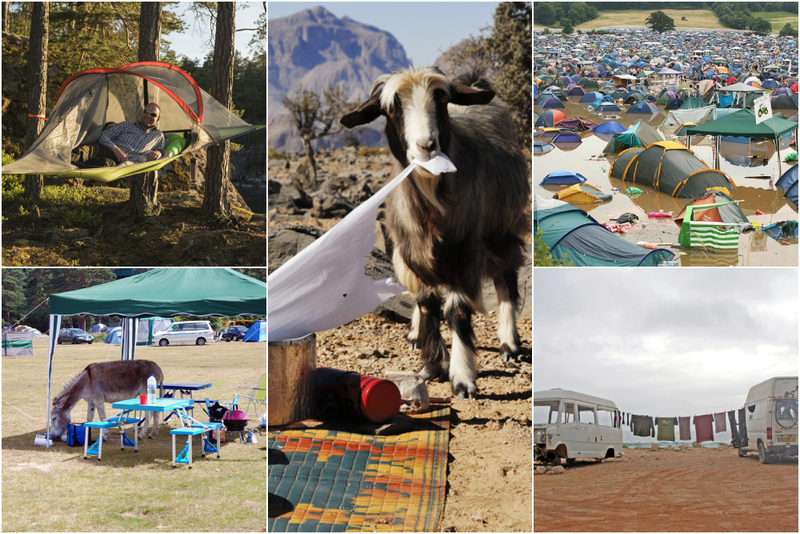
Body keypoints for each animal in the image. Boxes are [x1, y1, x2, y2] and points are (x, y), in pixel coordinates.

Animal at [340, 67, 532, 400]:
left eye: (441, 100)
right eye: (392, 108)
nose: (426, 146)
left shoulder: (466, 252)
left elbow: (457, 312)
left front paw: (462, 378)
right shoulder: (411, 251)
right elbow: (427, 304)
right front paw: (432, 365)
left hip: (503, 228)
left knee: (506, 278)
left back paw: (509, 343)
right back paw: (416, 334)